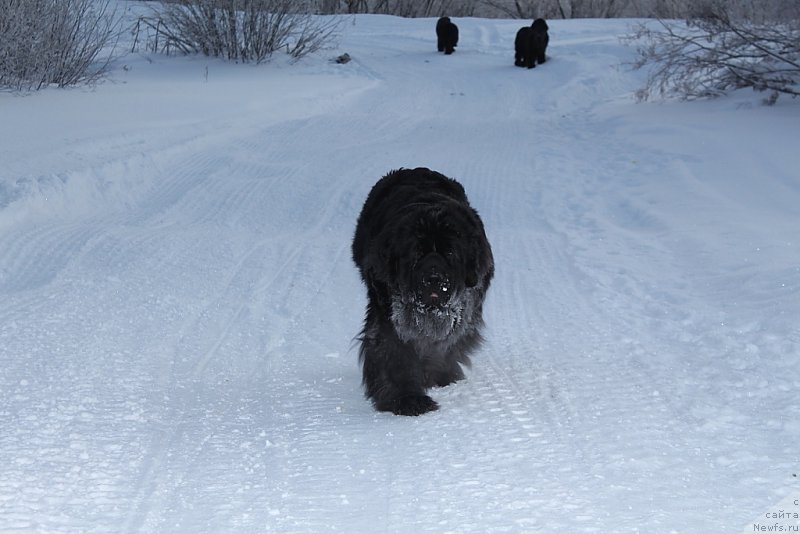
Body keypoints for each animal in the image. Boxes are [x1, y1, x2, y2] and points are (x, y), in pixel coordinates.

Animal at [352, 170, 490, 416]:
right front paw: (407, 399)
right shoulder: (387, 316)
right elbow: (393, 352)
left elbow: (448, 343)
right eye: (416, 253)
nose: (433, 279)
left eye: (450, 252)